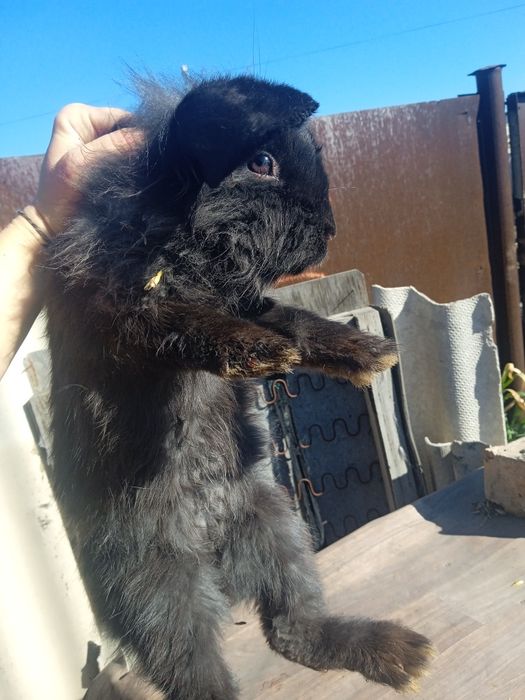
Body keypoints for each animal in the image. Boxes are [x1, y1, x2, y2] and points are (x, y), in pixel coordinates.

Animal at [44, 75, 432, 699]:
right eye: (261, 162)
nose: (329, 233)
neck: (190, 248)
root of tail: (212, 544)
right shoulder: (118, 307)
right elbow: (182, 324)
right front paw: (257, 352)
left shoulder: (248, 300)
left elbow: (294, 318)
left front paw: (368, 354)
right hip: (162, 594)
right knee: (200, 673)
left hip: (280, 529)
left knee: (296, 629)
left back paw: (391, 650)